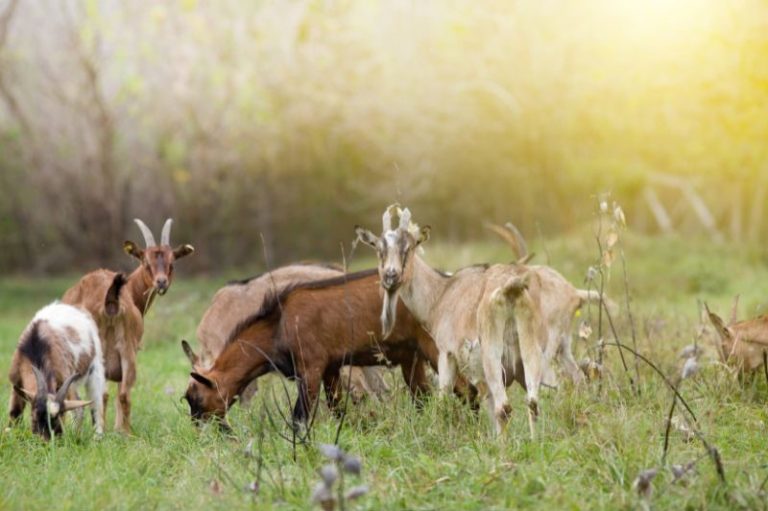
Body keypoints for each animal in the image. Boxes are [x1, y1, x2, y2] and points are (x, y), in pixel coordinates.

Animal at [7, 302, 105, 439]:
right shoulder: (16, 381)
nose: (46, 441)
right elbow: (14, 412)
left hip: (95, 368)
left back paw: (95, 437)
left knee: (94, 404)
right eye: (34, 417)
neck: (36, 347)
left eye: (60, 417)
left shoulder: (64, 377)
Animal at [61, 218, 193, 433]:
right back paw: (123, 432)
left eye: (171, 262)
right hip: (126, 349)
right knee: (121, 393)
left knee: (107, 394)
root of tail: (111, 299)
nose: (161, 282)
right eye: (146, 262)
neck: (130, 291)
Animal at [182, 269, 452, 426]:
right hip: (411, 358)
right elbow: (337, 409)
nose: (199, 428)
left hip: (435, 348)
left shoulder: (311, 368)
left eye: (196, 398)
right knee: (423, 397)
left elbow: (299, 417)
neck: (278, 324)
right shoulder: (331, 368)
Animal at [356, 206, 547, 437]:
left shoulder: (446, 353)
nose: (390, 276)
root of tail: (513, 288)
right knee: (532, 403)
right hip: (529, 345)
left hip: (491, 352)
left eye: (408, 247)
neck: (442, 293)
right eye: (378, 248)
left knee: (505, 408)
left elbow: (443, 399)